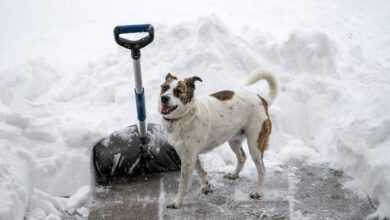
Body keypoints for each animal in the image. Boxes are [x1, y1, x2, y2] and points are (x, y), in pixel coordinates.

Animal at [158, 70, 278, 208]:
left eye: (178, 91)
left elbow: (183, 183)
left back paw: (258, 192)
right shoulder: (188, 154)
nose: (164, 98)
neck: (185, 116)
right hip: (234, 141)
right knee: (242, 157)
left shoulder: (188, 158)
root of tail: (262, 99)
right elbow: (200, 170)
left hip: (255, 145)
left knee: (262, 169)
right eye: (164, 88)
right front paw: (205, 185)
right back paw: (234, 175)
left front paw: (177, 202)